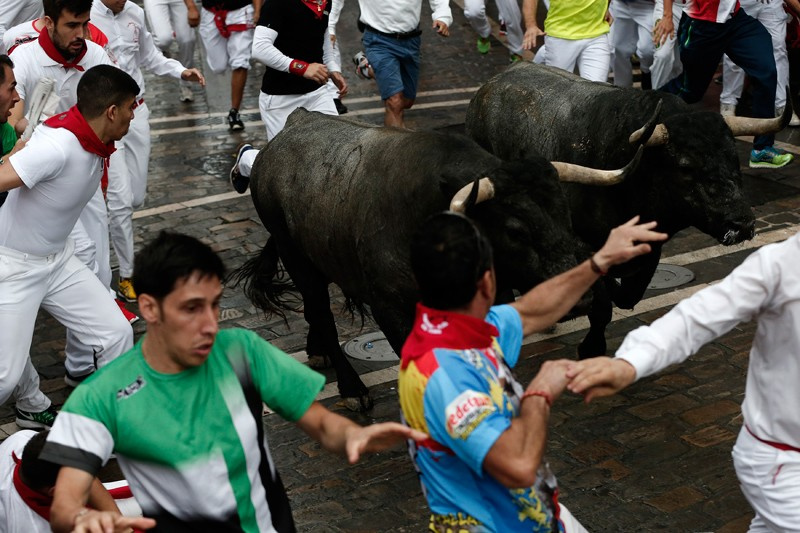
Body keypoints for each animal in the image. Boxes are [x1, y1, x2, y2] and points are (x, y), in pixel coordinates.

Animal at [466, 63, 792, 358]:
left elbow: (628, 294)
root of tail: (487, 89)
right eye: (686, 166)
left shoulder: (651, 245)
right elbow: (602, 305)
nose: (742, 223)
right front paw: (592, 347)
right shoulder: (584, 248)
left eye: (733, 158)